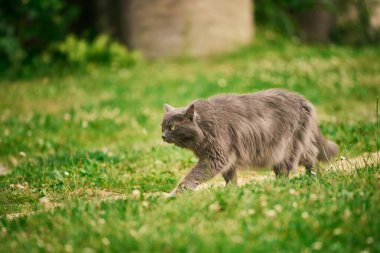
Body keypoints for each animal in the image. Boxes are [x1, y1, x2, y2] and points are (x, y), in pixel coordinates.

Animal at [160, 88, 338, 196]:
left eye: (172, 127)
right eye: (162, 127)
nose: (163, 136)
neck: (205, 126)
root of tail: (302, 100)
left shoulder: (216, 157)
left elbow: (191, 176)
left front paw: (176, 193)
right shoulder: (227, 157)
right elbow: (230, 177)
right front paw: (230, 192)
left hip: (286, 147)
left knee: (300, 162)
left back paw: (295, 182)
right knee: (309, 155)